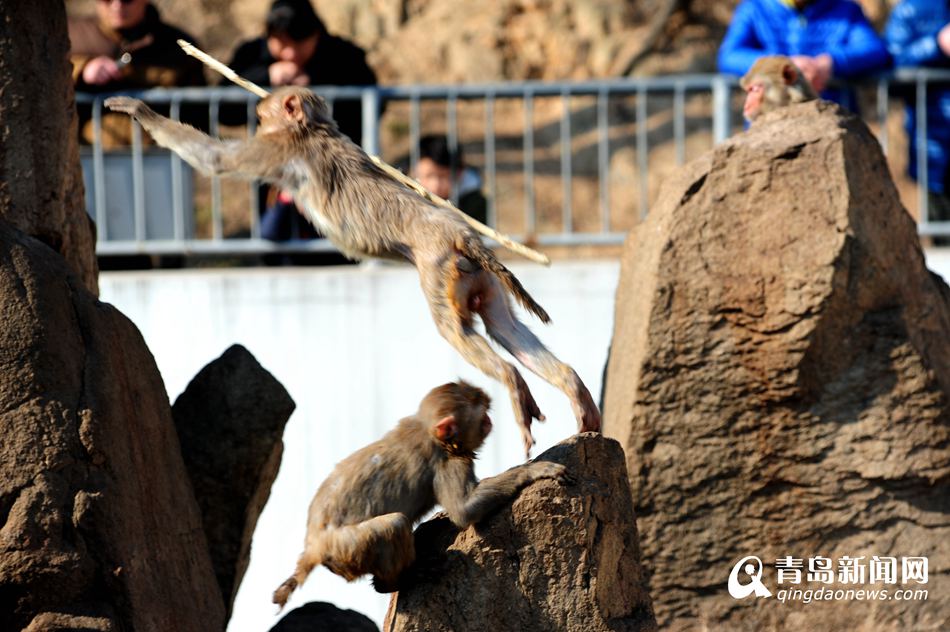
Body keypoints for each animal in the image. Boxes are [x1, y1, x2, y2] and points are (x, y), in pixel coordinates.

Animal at [108, 89, 600, 454]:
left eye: (263, 117)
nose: (257, 119)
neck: (315, 129)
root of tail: (464, 236)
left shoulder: (278, 150)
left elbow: (215, 160)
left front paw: (138, 110)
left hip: (441, 271)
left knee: (457, 332)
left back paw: (513, 384)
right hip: (481, 280)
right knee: (504, 328)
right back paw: (574, 390)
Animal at [270, 380, 564, 608]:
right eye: (482, 417)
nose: (490, 421)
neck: (430, 431)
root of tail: (313, 547)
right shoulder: (447, 462)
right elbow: (464, 510)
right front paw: (533, 470)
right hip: (347, 547)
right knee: (394, 524)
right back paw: (396, 581)